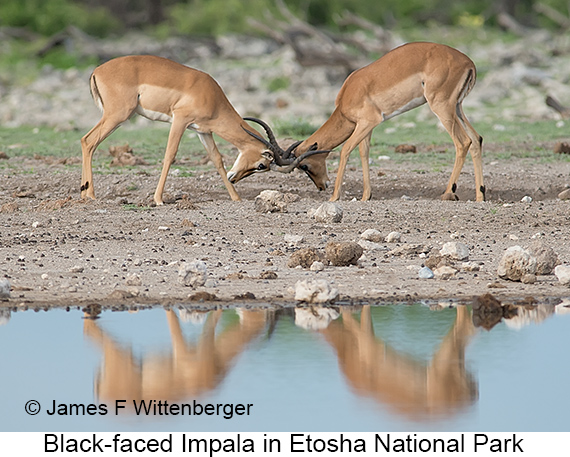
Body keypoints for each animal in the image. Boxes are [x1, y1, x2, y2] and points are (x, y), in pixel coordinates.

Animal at [79, 54, 310, 203]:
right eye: (262, 165)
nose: (234, 178)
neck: (211, 95)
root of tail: (97, 70)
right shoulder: (180, 120)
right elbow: (170, 155)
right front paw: (158, 199)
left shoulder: (203, 131)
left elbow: (217, 160)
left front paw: (236, 197)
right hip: (118, 115)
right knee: (88, 141)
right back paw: (90, 194)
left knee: (86, 141)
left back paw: (84, 193)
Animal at [282, 41, 482, 201]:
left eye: (304, 165)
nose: (322, 186)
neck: (349, 94)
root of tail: (469, 63)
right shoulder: (366, 126)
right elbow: (364, 152)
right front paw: (366, 196)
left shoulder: (368, 122)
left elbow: (346, 150)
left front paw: (334, 198)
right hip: (457, 107)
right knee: (477, 139)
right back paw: (480, 196)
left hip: (442, 107)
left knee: (463, 142)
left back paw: (448, 193)